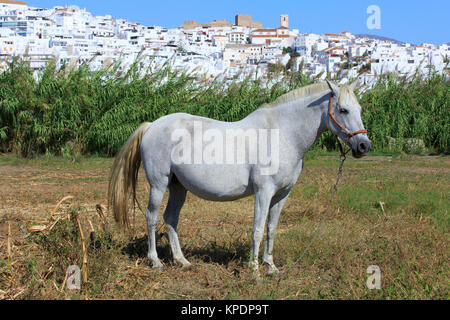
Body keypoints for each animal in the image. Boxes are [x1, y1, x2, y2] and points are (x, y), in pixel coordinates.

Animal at [107, 80, 370, 280]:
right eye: (343, 110)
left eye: (359, 109)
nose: (363, 146)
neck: (282, 135)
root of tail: (152, 125)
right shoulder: (264, 192)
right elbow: (257, 229)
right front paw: (254, 271)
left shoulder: (282, 194)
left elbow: (272, 229)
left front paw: (271, 267)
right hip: (159, 184)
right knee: (151, 217)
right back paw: (155, 262)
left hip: (178, 187)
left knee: (170, 218)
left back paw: (182, 261)